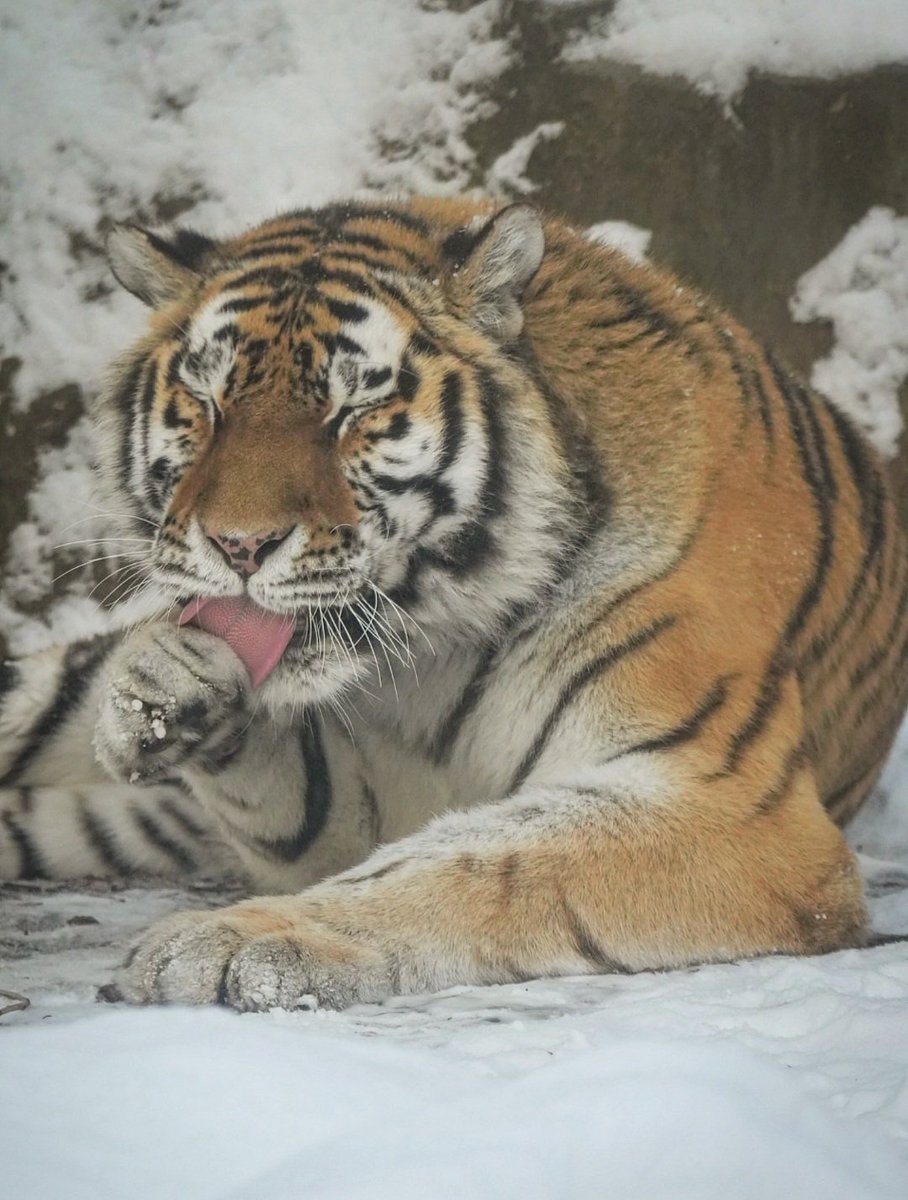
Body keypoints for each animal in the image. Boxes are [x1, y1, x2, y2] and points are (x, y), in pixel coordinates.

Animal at [1, 195, 906, 1012]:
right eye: (209, 403)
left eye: (354, 410)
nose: (239, 547)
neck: (435, 642)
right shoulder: (350, 805)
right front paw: (167, 684)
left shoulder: (730, 803)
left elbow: (478, 859)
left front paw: (237, 940)